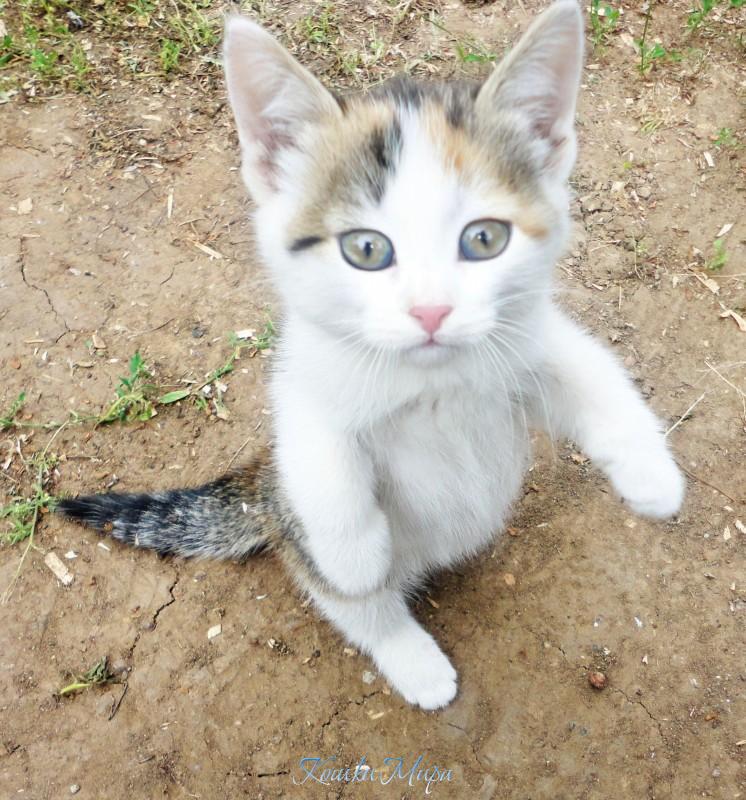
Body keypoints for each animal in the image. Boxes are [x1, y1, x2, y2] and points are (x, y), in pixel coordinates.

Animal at [58, 0, 685, 710]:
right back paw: (413, 658)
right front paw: (355, 555)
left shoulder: (527, 337)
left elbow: (593, 374)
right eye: (366, 250)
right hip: (295, 524)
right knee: (354, 604)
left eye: (484, 239)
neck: (433, 379)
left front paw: (653, 477)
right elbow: (323, 463)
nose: (431, 311)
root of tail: (261, 493)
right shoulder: (304, 379)